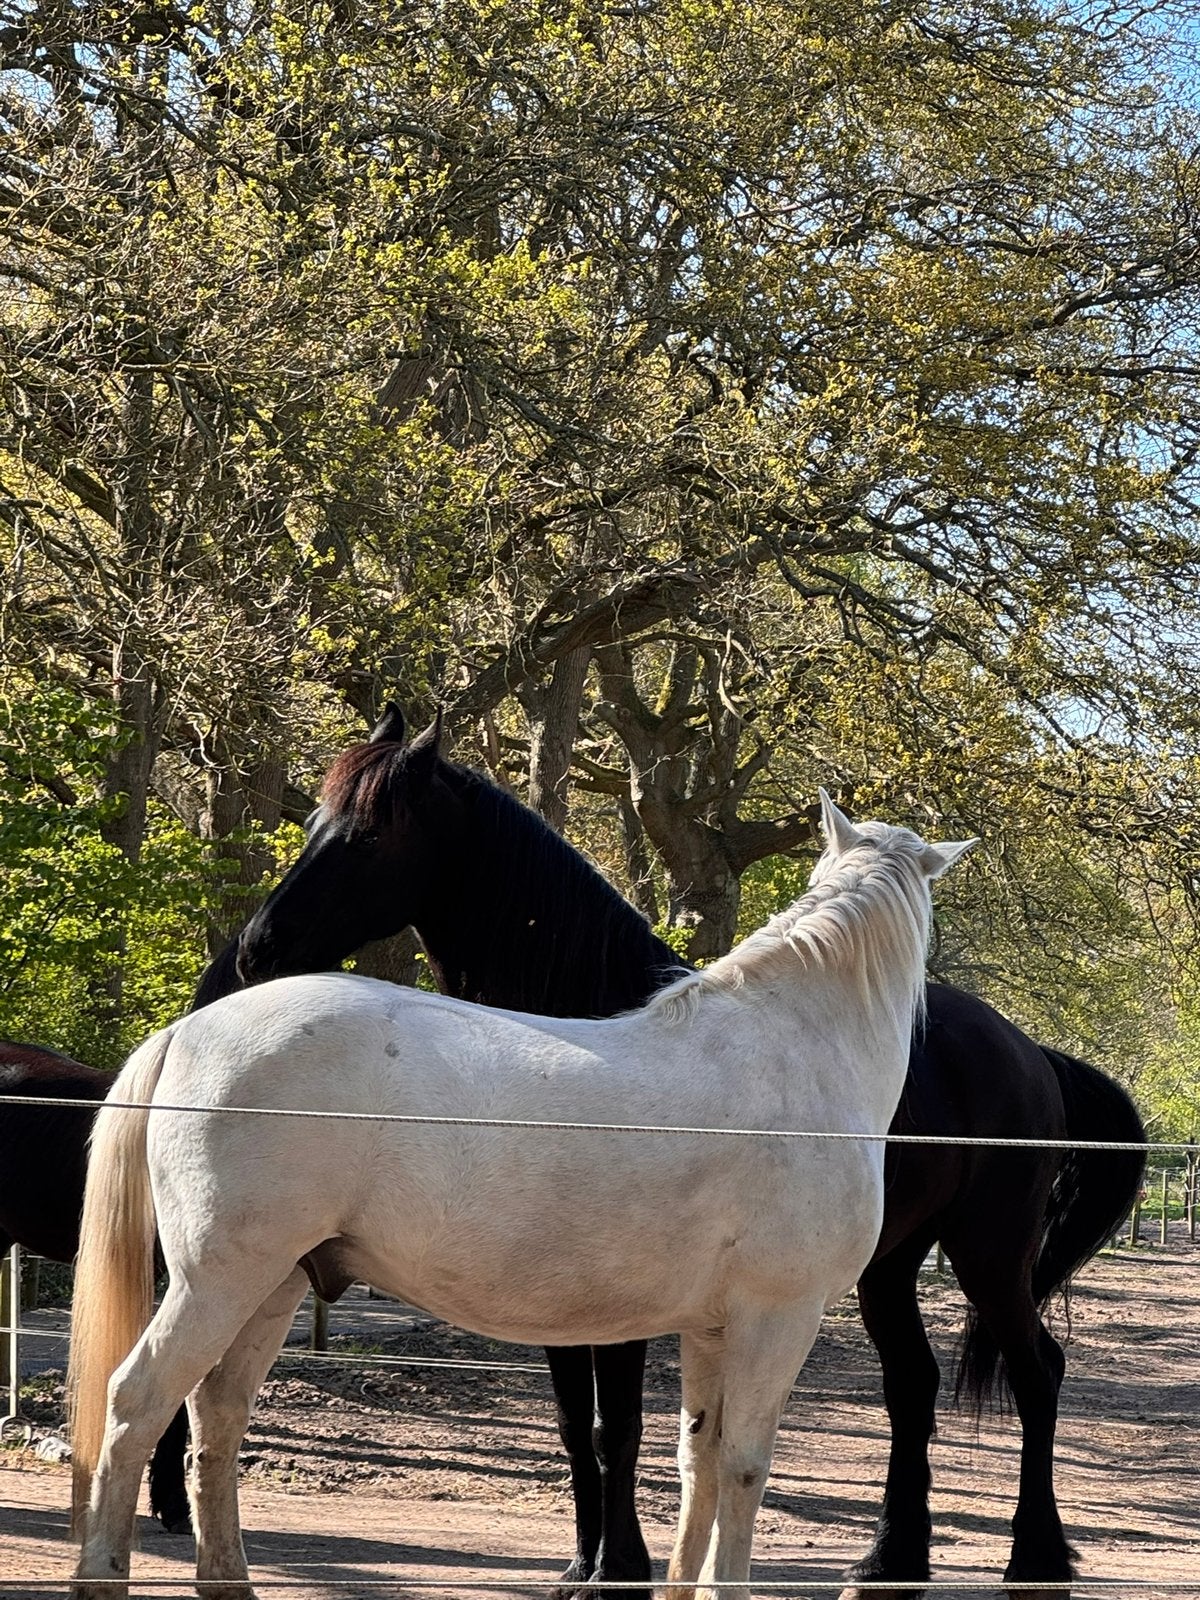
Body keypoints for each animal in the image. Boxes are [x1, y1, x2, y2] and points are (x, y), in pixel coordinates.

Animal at [69, 795, 964, 1600]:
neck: (794, 1049)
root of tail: (188, 1032)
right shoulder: (777, 1318)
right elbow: (743, 1471)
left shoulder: (712, 1330)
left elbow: (698, 1469)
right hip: (218, 1282)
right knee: (137, 1403)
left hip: (277, 1283)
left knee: (216, 1420)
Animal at [214, 706, 1146, 1600]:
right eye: (317, 824)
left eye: (369, 834)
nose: (258, 948)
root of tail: (1026, 1049)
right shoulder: (611, 1312)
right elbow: (611, 1437)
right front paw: (589, 1567)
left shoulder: (650, 1318)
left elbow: (630, 1435)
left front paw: (615, 1565)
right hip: (897, 1266)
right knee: (916, 1388)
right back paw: (892, 1559)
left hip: (987, 1252)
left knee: (1035, 1375)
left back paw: (1031, 1557)